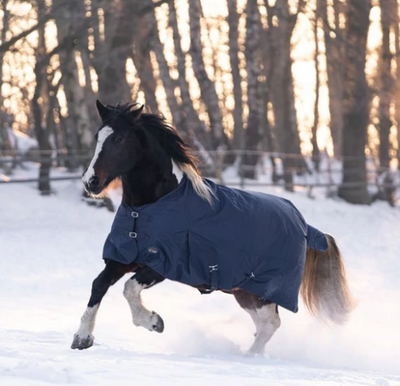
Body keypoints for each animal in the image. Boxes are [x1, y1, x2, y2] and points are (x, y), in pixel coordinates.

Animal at [71, 100, 354, 356]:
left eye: (119, 139)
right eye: (97, 137)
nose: (90, 182)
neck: (147, 208)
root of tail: (305, 226)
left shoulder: (162, 264)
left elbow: (129, 289)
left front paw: (154, 322)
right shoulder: (123, 258)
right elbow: (99, 285)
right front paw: (82, 338)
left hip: (265, 290)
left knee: (271, 324)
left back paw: (249, 357)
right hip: (246, 291)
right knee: (264, 324)